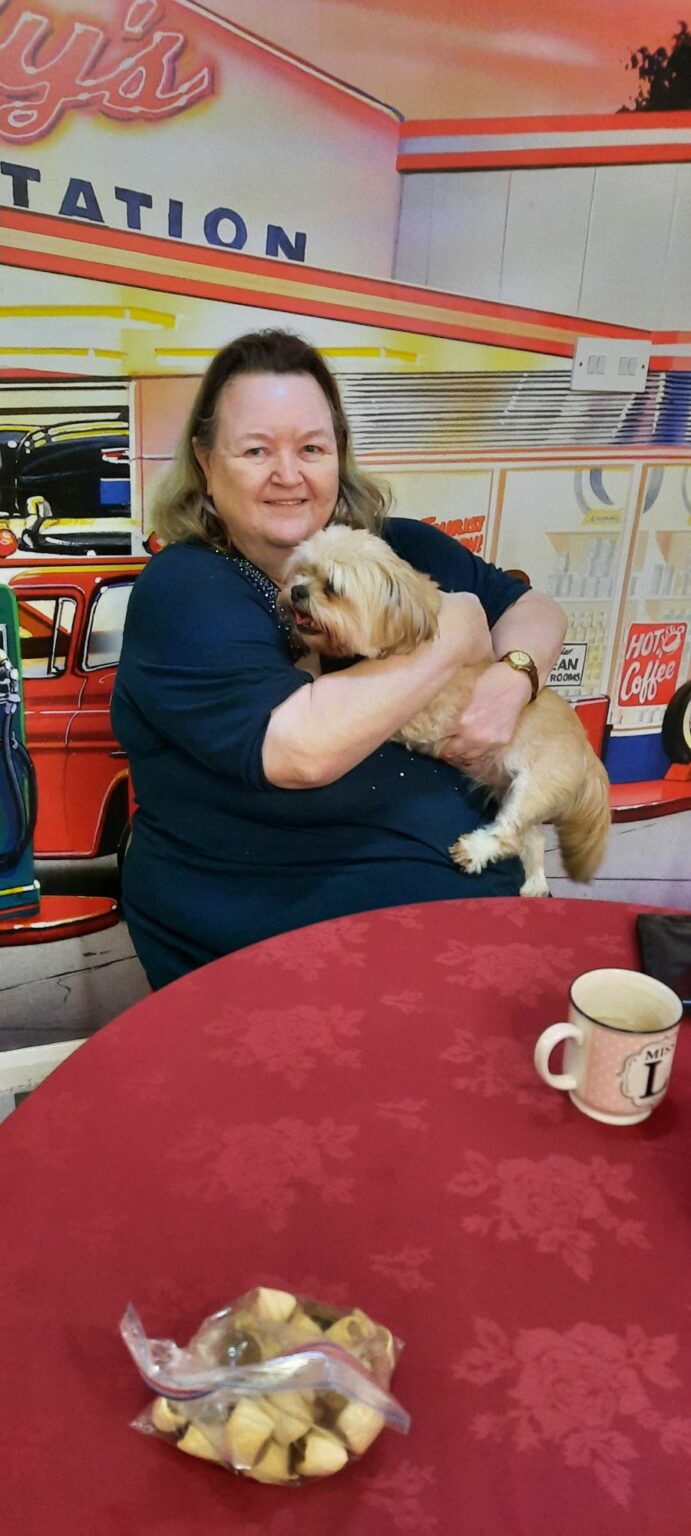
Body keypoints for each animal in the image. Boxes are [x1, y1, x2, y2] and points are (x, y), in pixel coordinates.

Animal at [278, 524, 611, 897]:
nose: (296, 591)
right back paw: (535, 884)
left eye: (333, 588)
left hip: (534, 787)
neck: (410, 627)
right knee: (534, 838)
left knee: (511, 836)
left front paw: (312, 671)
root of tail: (588, 751)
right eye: (303, 570)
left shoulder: (422, 717)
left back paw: (477, 850)